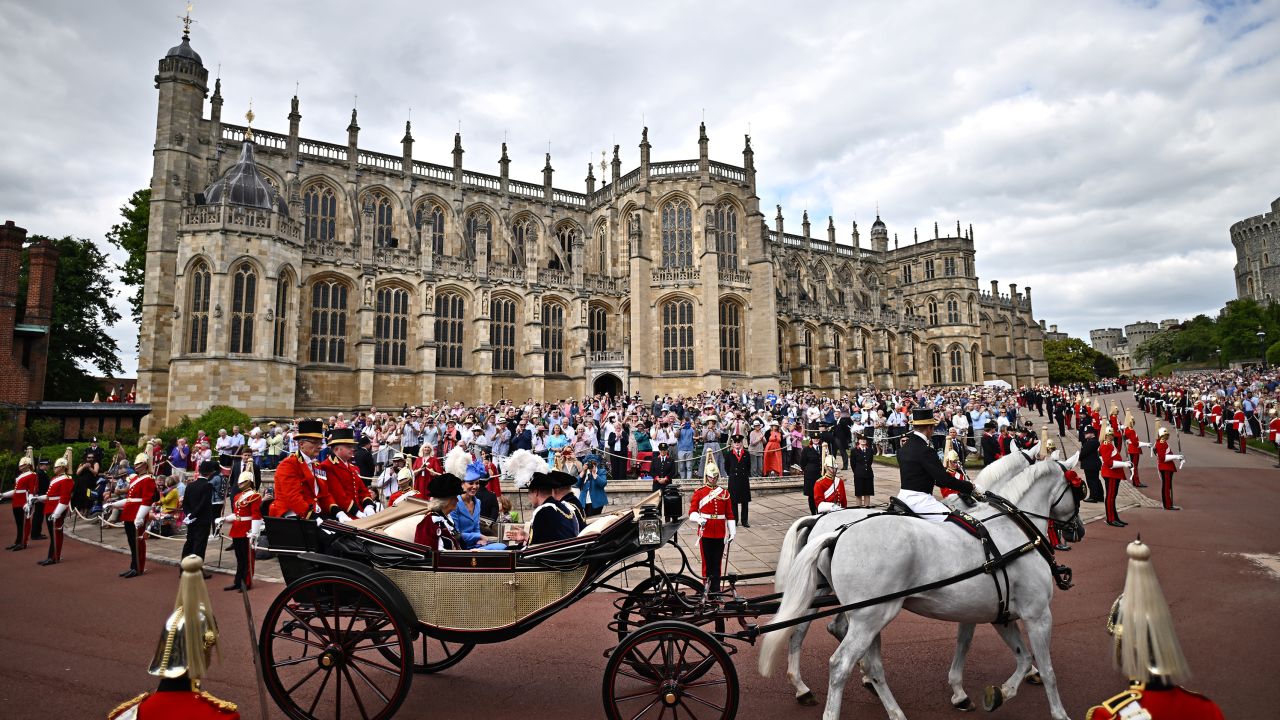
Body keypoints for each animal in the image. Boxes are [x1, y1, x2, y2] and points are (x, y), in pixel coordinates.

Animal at [762, 453, 1085, 717]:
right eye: (1080, 488)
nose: (1078, 530)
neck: (1010, 529)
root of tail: (832, 529)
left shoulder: (992, 611)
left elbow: (999, 651)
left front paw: (977, 692)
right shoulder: (1037, 614)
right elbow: (1047, 668)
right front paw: (1057, 711)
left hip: (847, 603)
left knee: (819, 636)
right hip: (866, 612)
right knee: (837, 660)